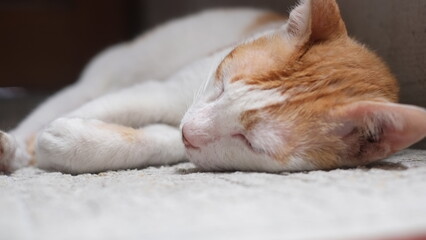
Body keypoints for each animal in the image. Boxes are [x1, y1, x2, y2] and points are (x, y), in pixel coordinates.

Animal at [0, 0, 426, 173]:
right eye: (220, 86)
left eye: (250, 142)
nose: (190, 130)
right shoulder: (163, 92)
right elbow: (114, 105)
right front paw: (31, 147)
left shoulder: (183, 132)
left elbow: (158, 140)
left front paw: (77, 144)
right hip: (116, 70)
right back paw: (13, 144)